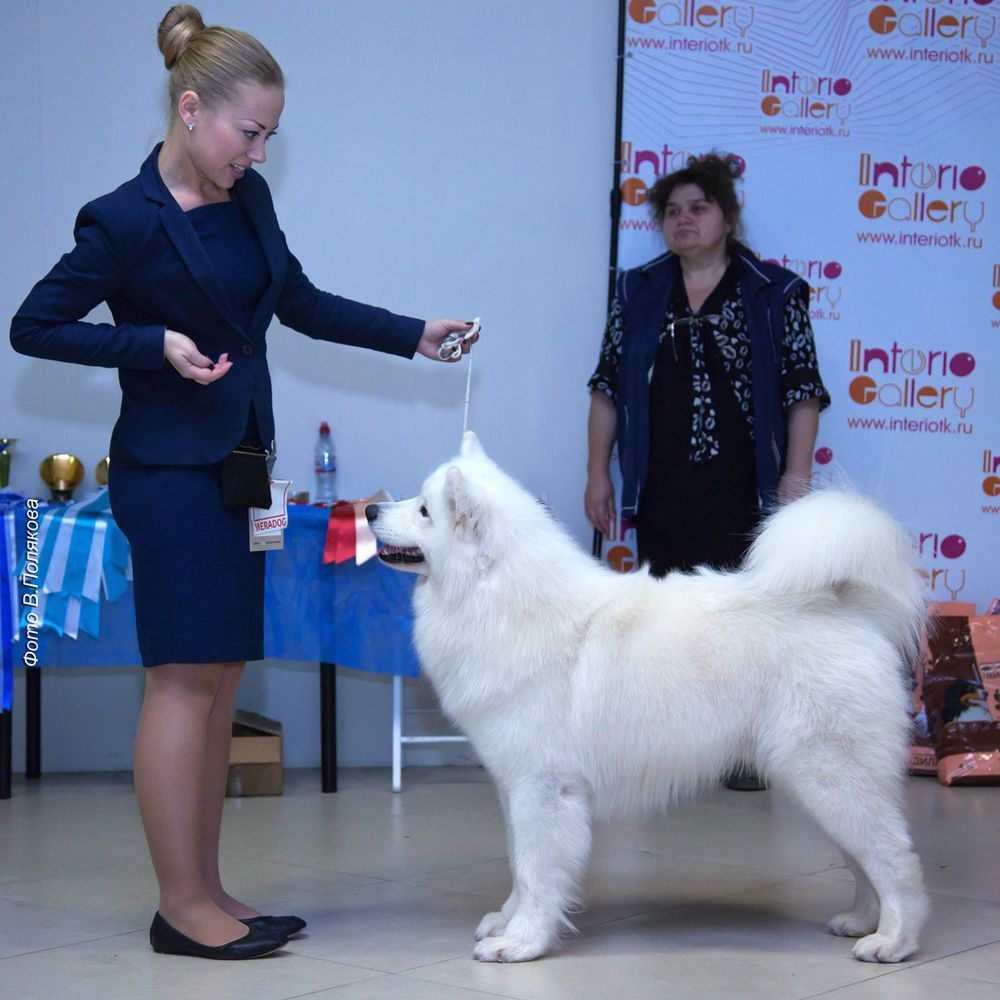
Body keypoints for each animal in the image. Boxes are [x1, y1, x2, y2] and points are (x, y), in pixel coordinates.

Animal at [366, 434, 928, 964]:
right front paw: (507, 922)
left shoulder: (543, 789)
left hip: (830, 778)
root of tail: (847, 609)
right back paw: (861, 921)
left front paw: (522, 942)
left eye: (424, 510)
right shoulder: (515, 786)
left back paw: (893, 942)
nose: (370, 510)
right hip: (816, 787)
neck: (498, 598)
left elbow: (536, 870)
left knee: (896, 859)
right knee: (865, 861)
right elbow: (517, 864)